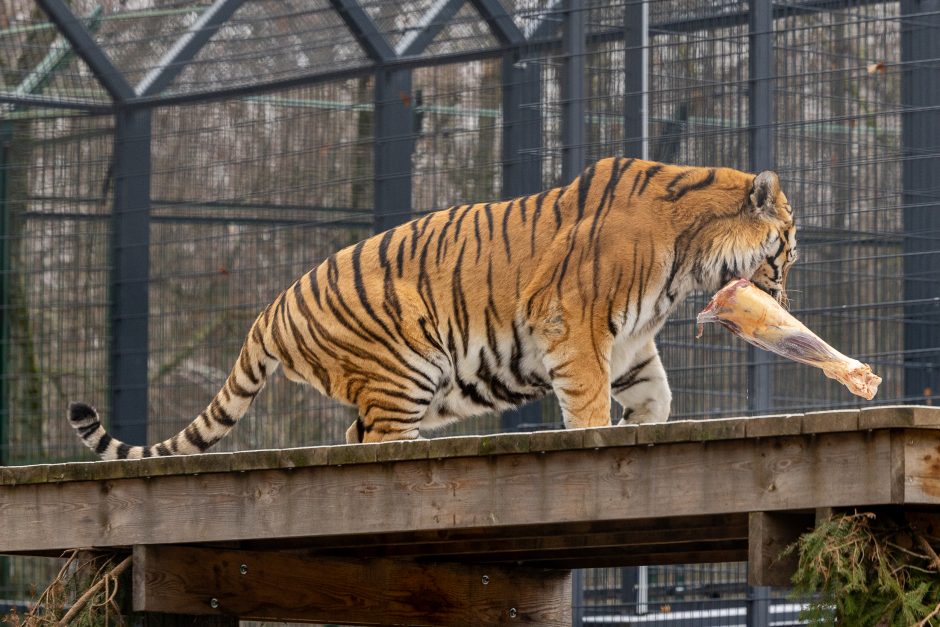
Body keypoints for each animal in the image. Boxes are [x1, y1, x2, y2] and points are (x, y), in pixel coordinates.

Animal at [70, 158, 796, 462]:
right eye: (787, 248)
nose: (786, 293)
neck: (688, 258)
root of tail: (270, 309)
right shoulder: (573, 324)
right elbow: (588, 402)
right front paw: (599, 434)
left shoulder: (626, 341)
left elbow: (655, 392)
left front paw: (639, 427)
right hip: (408, 364)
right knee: (377, 442)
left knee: (354, 436)